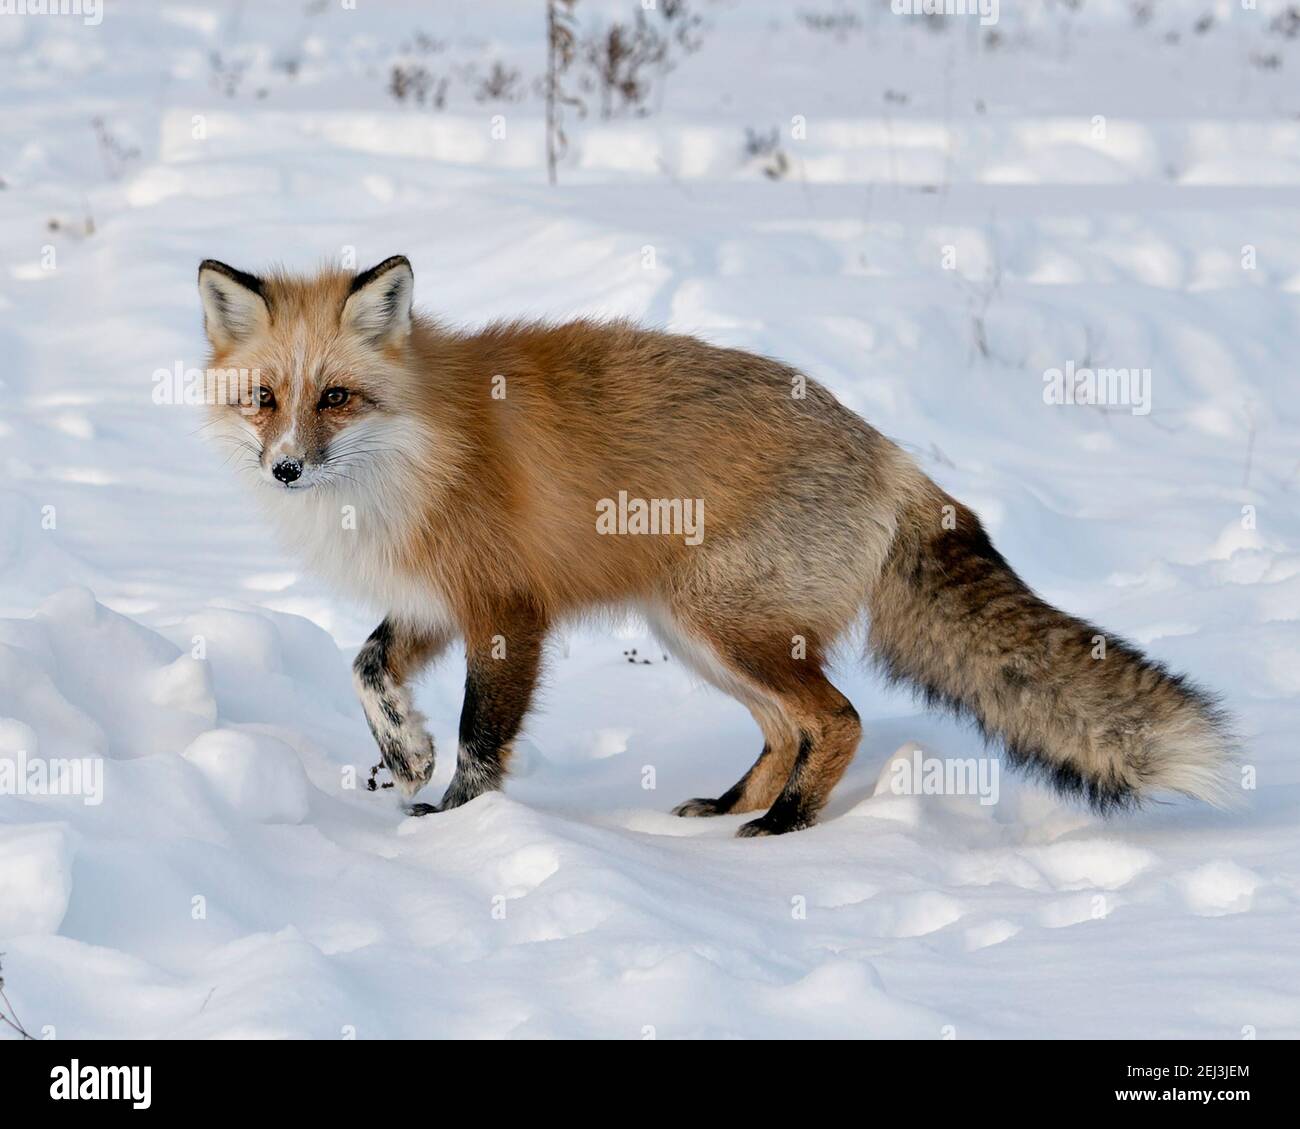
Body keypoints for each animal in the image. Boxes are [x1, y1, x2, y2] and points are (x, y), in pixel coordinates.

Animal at [197, 257, 1232, 837]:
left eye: (336, 397)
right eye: (266, 399)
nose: (285, 469)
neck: (415, 454)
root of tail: (893, 454)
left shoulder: (506, 613)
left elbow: (482, 743)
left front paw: (454, 822)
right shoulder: (428, 602)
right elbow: (366, 667)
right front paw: (404, 753)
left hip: (724, 626)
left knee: (839, 719)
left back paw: (784, 826)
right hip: (699, 636)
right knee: (787, 729)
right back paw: (732, 806)